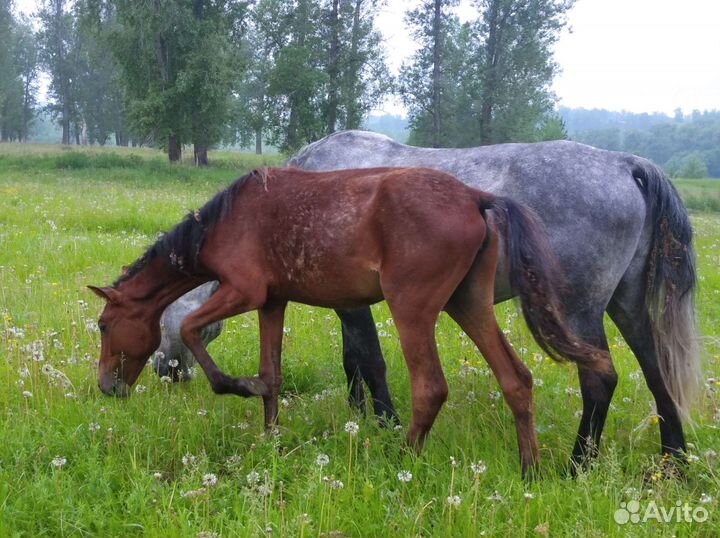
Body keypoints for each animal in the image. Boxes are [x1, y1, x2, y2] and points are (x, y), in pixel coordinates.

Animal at [88, 167, 610, 476]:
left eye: (103, 325)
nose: (106, 388)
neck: (226, 221)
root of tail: (476, 197)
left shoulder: (243, 292)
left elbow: (193, 330)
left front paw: (236, 386)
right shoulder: (272, 303)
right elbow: (273, 376)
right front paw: (270, 441)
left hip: (413, 309)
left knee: (430, 388)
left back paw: (402, 461)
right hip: (469, 305)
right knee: (516, 380)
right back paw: (529, 470)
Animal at [286, 131, 700, 468]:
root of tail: (623, 163)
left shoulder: (353, 305)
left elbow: (369, 362)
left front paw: (387, 424)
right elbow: (353, 361)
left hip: (579, 309)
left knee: (600, 381)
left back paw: (577, 465)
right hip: (626, 305)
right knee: (658, 373)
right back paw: (674, 463)